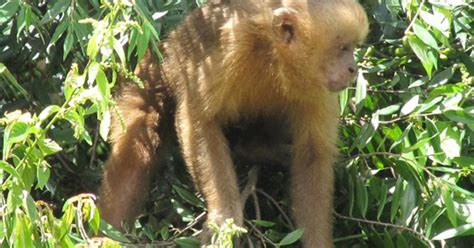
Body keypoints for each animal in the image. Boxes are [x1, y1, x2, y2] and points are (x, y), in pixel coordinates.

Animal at [98, 0, 368, 246]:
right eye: (343, 48)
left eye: (353, 47)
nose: (353, 68)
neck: (275, 56)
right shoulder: (233, 42)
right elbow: (199, 119)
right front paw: (224, 216)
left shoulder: (317, 86)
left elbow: (313, 154)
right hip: (154, 69)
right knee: (139, 136)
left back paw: (256, 149)